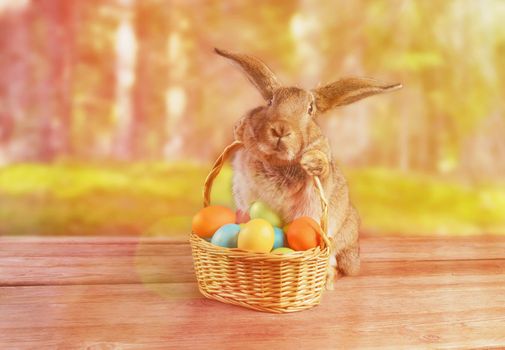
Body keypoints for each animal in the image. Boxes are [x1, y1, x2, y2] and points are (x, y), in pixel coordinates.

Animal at [215, 47, 400, 282]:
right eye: (270, 102)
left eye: (310, 109)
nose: (281, 129)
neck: (278, 161)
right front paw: (240, 127)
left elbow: (322, 169)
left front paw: (311, 161)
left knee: (340, 267)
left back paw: (329, 276)